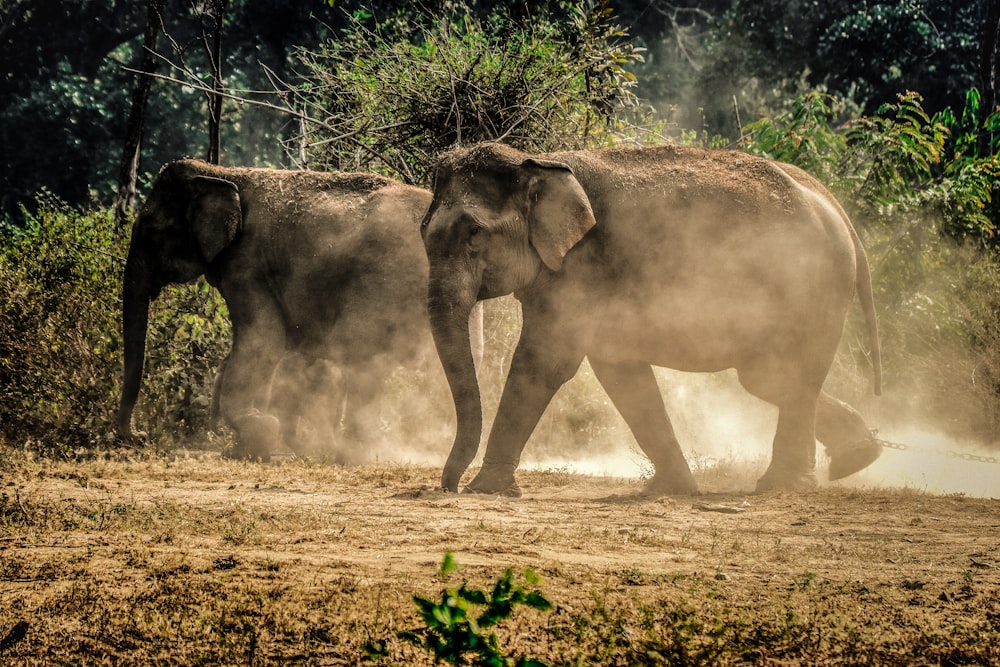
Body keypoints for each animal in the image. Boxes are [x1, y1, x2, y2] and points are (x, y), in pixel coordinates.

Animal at [115, 159, 482, 462]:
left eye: (151, 231)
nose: (138, 437)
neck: (223, 173)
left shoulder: (247, 264)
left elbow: (263, 340)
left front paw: (258, 433)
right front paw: (248, 444)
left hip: (385, 281)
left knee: (359, 352)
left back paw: (351, 453)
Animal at [422, 142, 884, 496]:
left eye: (474, 233)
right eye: (424, 234)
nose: (447, 486)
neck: (536, 161)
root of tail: (835, 208)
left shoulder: (580, 266)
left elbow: (545, 362)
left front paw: (486, 489)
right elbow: (619, 370)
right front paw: (672, 489)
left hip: (816, 286)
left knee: (788, 375)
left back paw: (785, 484)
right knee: (767, 378)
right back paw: (859, 456)